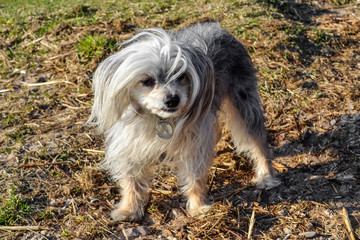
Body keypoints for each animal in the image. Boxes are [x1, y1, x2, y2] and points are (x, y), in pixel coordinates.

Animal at [88, 22, 282, 221]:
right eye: (147, 80)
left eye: (181, 75)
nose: (172, 99)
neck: (160, 119)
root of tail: (218, 28)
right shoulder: (131, 144)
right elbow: (131, 181)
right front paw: (128, 209)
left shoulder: (195, 143)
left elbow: (194, 177)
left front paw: (198, 207)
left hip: (244, 102)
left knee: (258, 142)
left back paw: (266, 176)